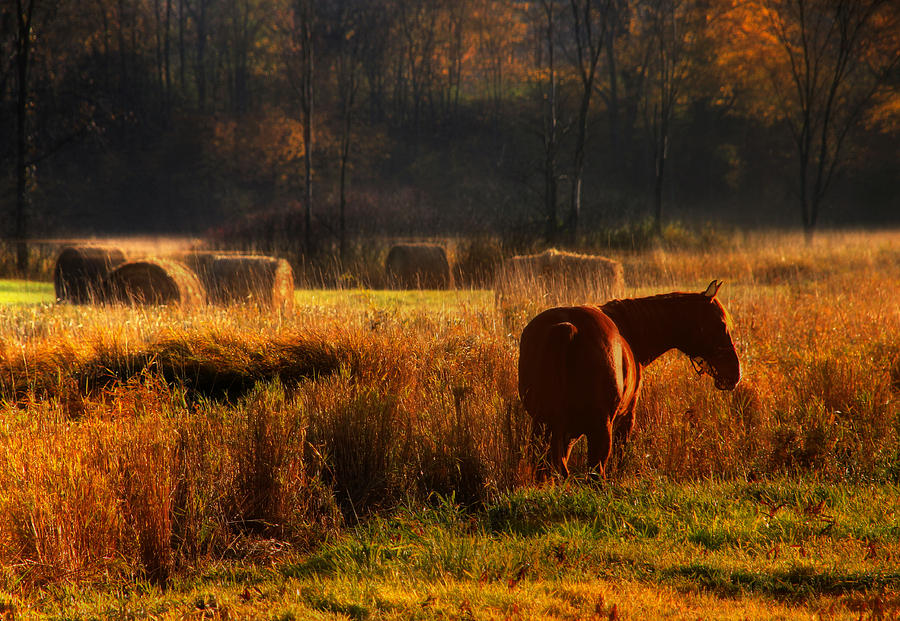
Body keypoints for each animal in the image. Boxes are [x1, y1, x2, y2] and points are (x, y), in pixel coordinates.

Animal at [516, 278, 740, 478]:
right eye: (721, 325)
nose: (735, 373)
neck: (630, 330)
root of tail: (567, 328)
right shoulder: (625, 419)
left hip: (543, 424)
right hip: (598, 429)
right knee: (595, 473)